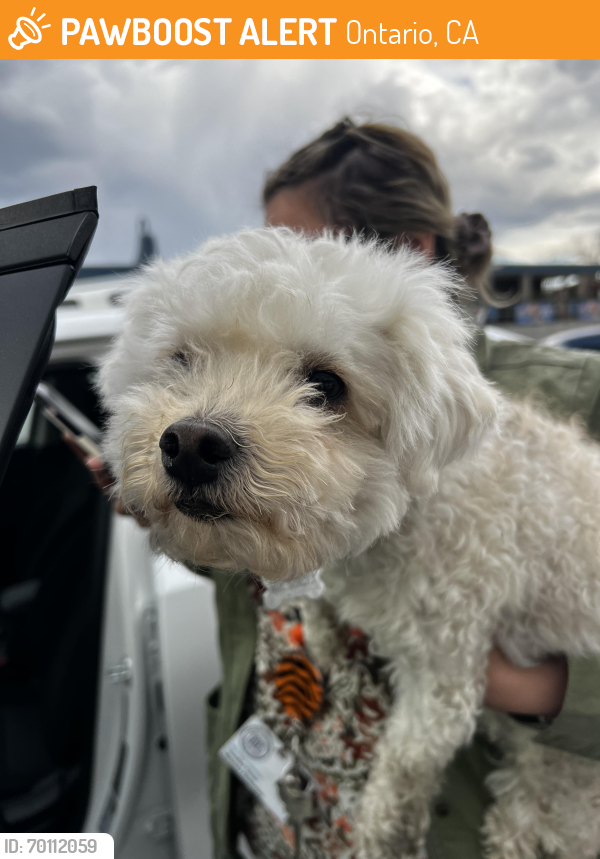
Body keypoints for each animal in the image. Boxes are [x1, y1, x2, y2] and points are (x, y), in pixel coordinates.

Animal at [98, 228, 600, 859]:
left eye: (327, 385)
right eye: (182, 360)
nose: (190, 444)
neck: (398, 522)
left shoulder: (445, 670)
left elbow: (405, 766)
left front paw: (379, 835)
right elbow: (321, 607)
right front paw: (325, 635)